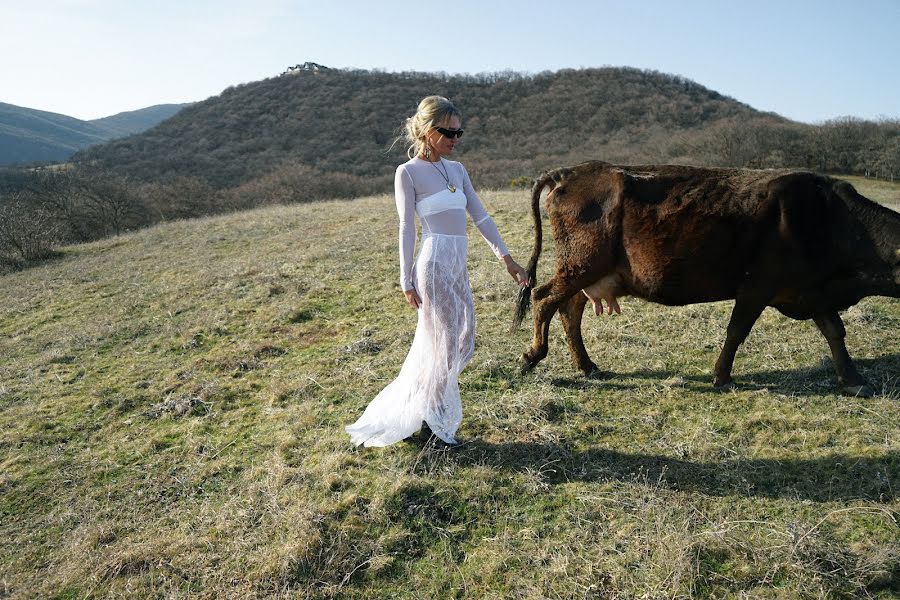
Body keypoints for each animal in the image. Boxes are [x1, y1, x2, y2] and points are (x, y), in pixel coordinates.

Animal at [512, 161, 900, 394]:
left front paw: (853, 379)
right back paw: (532, 356)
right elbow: (737, 331)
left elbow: (834, 331)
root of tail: (573, 171)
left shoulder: (811, 289)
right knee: (544, 298)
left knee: (569, 311)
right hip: (581, 265)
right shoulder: (757, 286)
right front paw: (722, 376)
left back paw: (587, 365)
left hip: (588, 272)